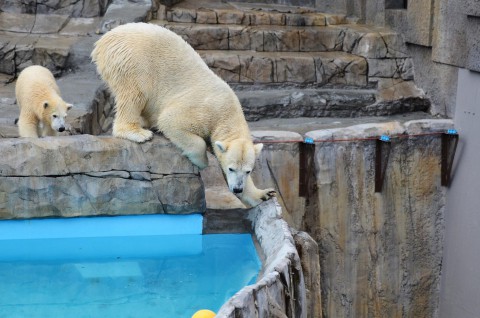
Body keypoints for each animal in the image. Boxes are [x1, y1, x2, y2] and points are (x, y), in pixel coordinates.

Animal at [91, 22, 276, 206]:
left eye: (248, 171)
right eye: (231, 168)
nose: (237, 189)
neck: (226, 112)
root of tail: (104, 40)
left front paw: (264, 193)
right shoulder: (204, 111)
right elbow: (171, 121)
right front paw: (202, 161)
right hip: (132, 61)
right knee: (135, 93)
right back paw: (138, 132)